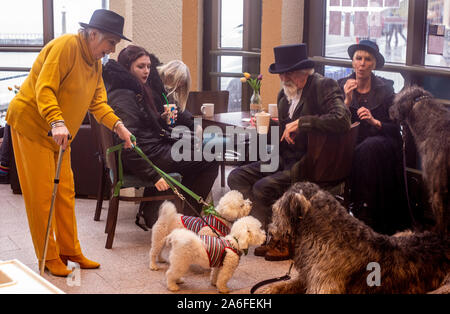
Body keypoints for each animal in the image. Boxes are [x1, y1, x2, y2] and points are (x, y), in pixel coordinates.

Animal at [264, 182, 450, 294]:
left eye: (275, 210)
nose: (270, 231)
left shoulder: (324, 286)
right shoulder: (309, 277)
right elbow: (290, 283)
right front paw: (271, 288)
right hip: (404, 232)